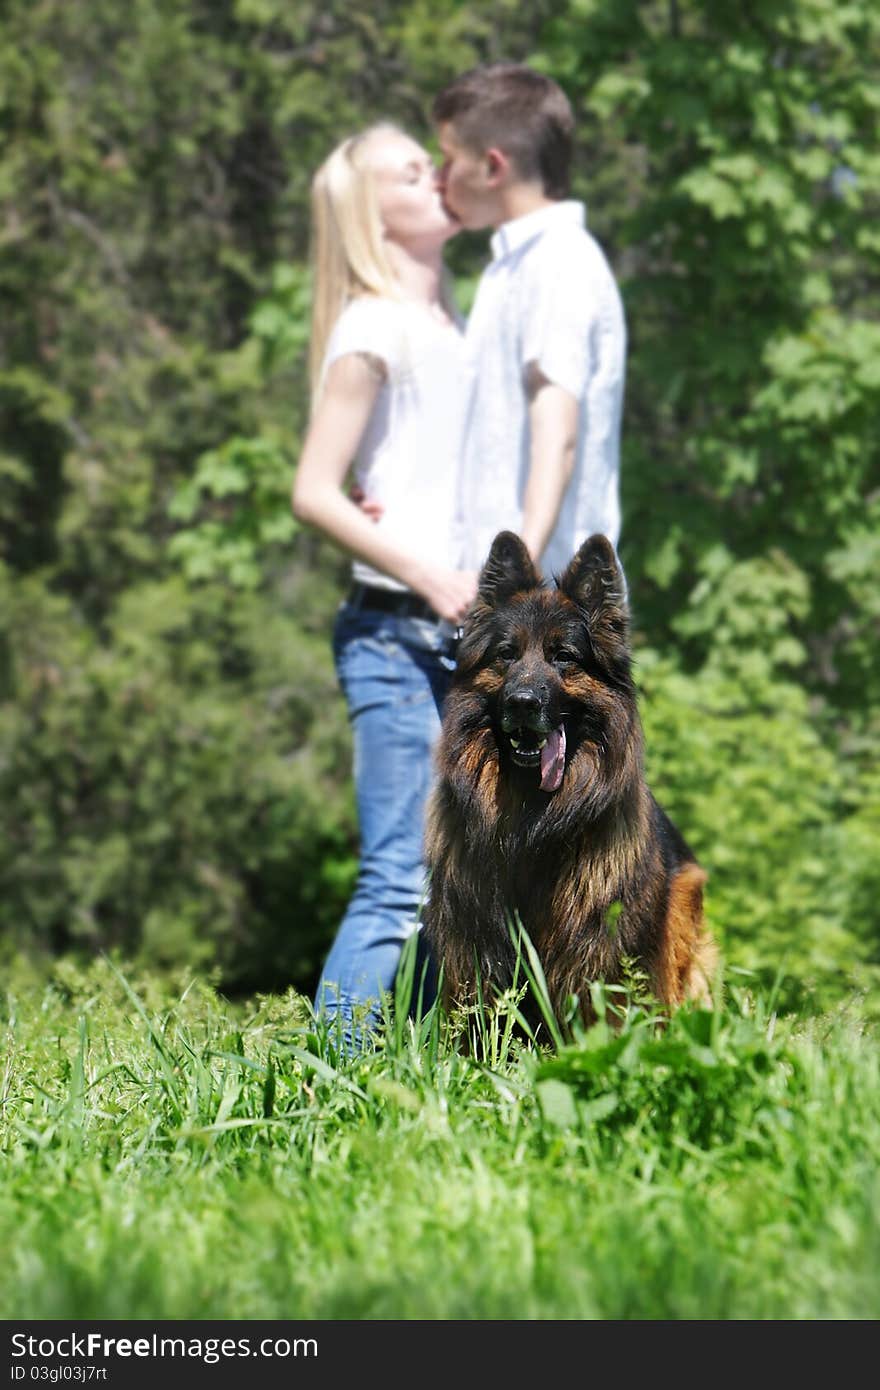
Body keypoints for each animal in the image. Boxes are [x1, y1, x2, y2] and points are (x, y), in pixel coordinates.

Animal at [422, 530, 717, 1034]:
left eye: (563, 657)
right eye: (507, 654)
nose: (522, 703)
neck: (531, 822)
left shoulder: (599, 950)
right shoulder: (473, 941)